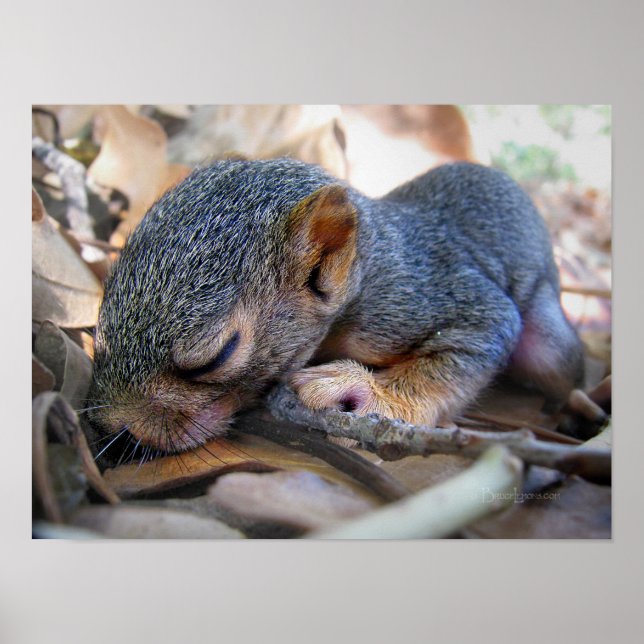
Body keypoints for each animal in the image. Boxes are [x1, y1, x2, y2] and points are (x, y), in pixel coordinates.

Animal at [89, 158, 584, 454]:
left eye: (216, 356)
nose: (115, 426)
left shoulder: (415, 299)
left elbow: (477, 337)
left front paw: (367, 391)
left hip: (547, 341)